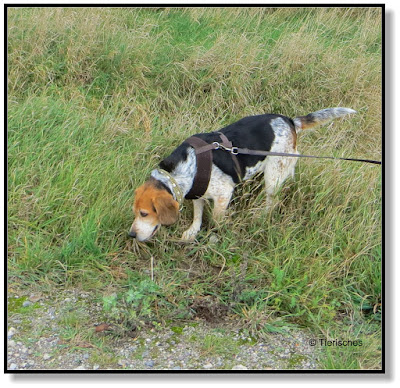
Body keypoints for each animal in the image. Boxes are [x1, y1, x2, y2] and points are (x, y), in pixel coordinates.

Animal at [128, 106, 356, 239]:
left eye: (144, 213)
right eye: (135, 212)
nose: (131, 235)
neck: (179, 172)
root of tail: (290, 121)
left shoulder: (223, 194)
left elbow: (217, 219)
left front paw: (219, 232)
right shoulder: (198, 192)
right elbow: (198, 215)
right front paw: (192, 231)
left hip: (273, 175)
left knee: (271, 201)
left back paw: (261, 216)